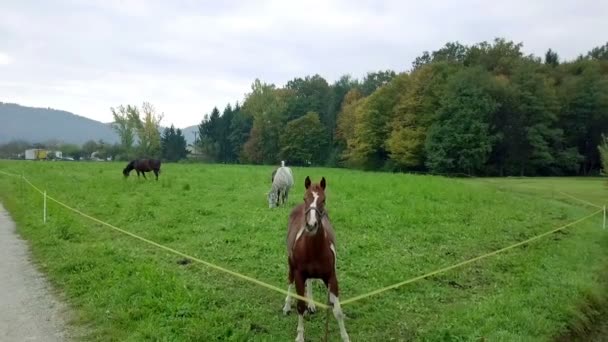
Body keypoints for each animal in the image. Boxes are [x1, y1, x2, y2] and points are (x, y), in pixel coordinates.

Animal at [282, 176, 350, 342]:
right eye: (305, 198)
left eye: (323, 200)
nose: (311, 225)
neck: (313, 249)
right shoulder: (299, 274)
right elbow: (300, 306)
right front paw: (300, 336)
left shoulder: (331, 277)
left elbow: (338, 311)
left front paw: (345, 337)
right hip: (290, 263)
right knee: (290, 281)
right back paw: (287, 306)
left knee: (311, 281)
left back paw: (311, 304)